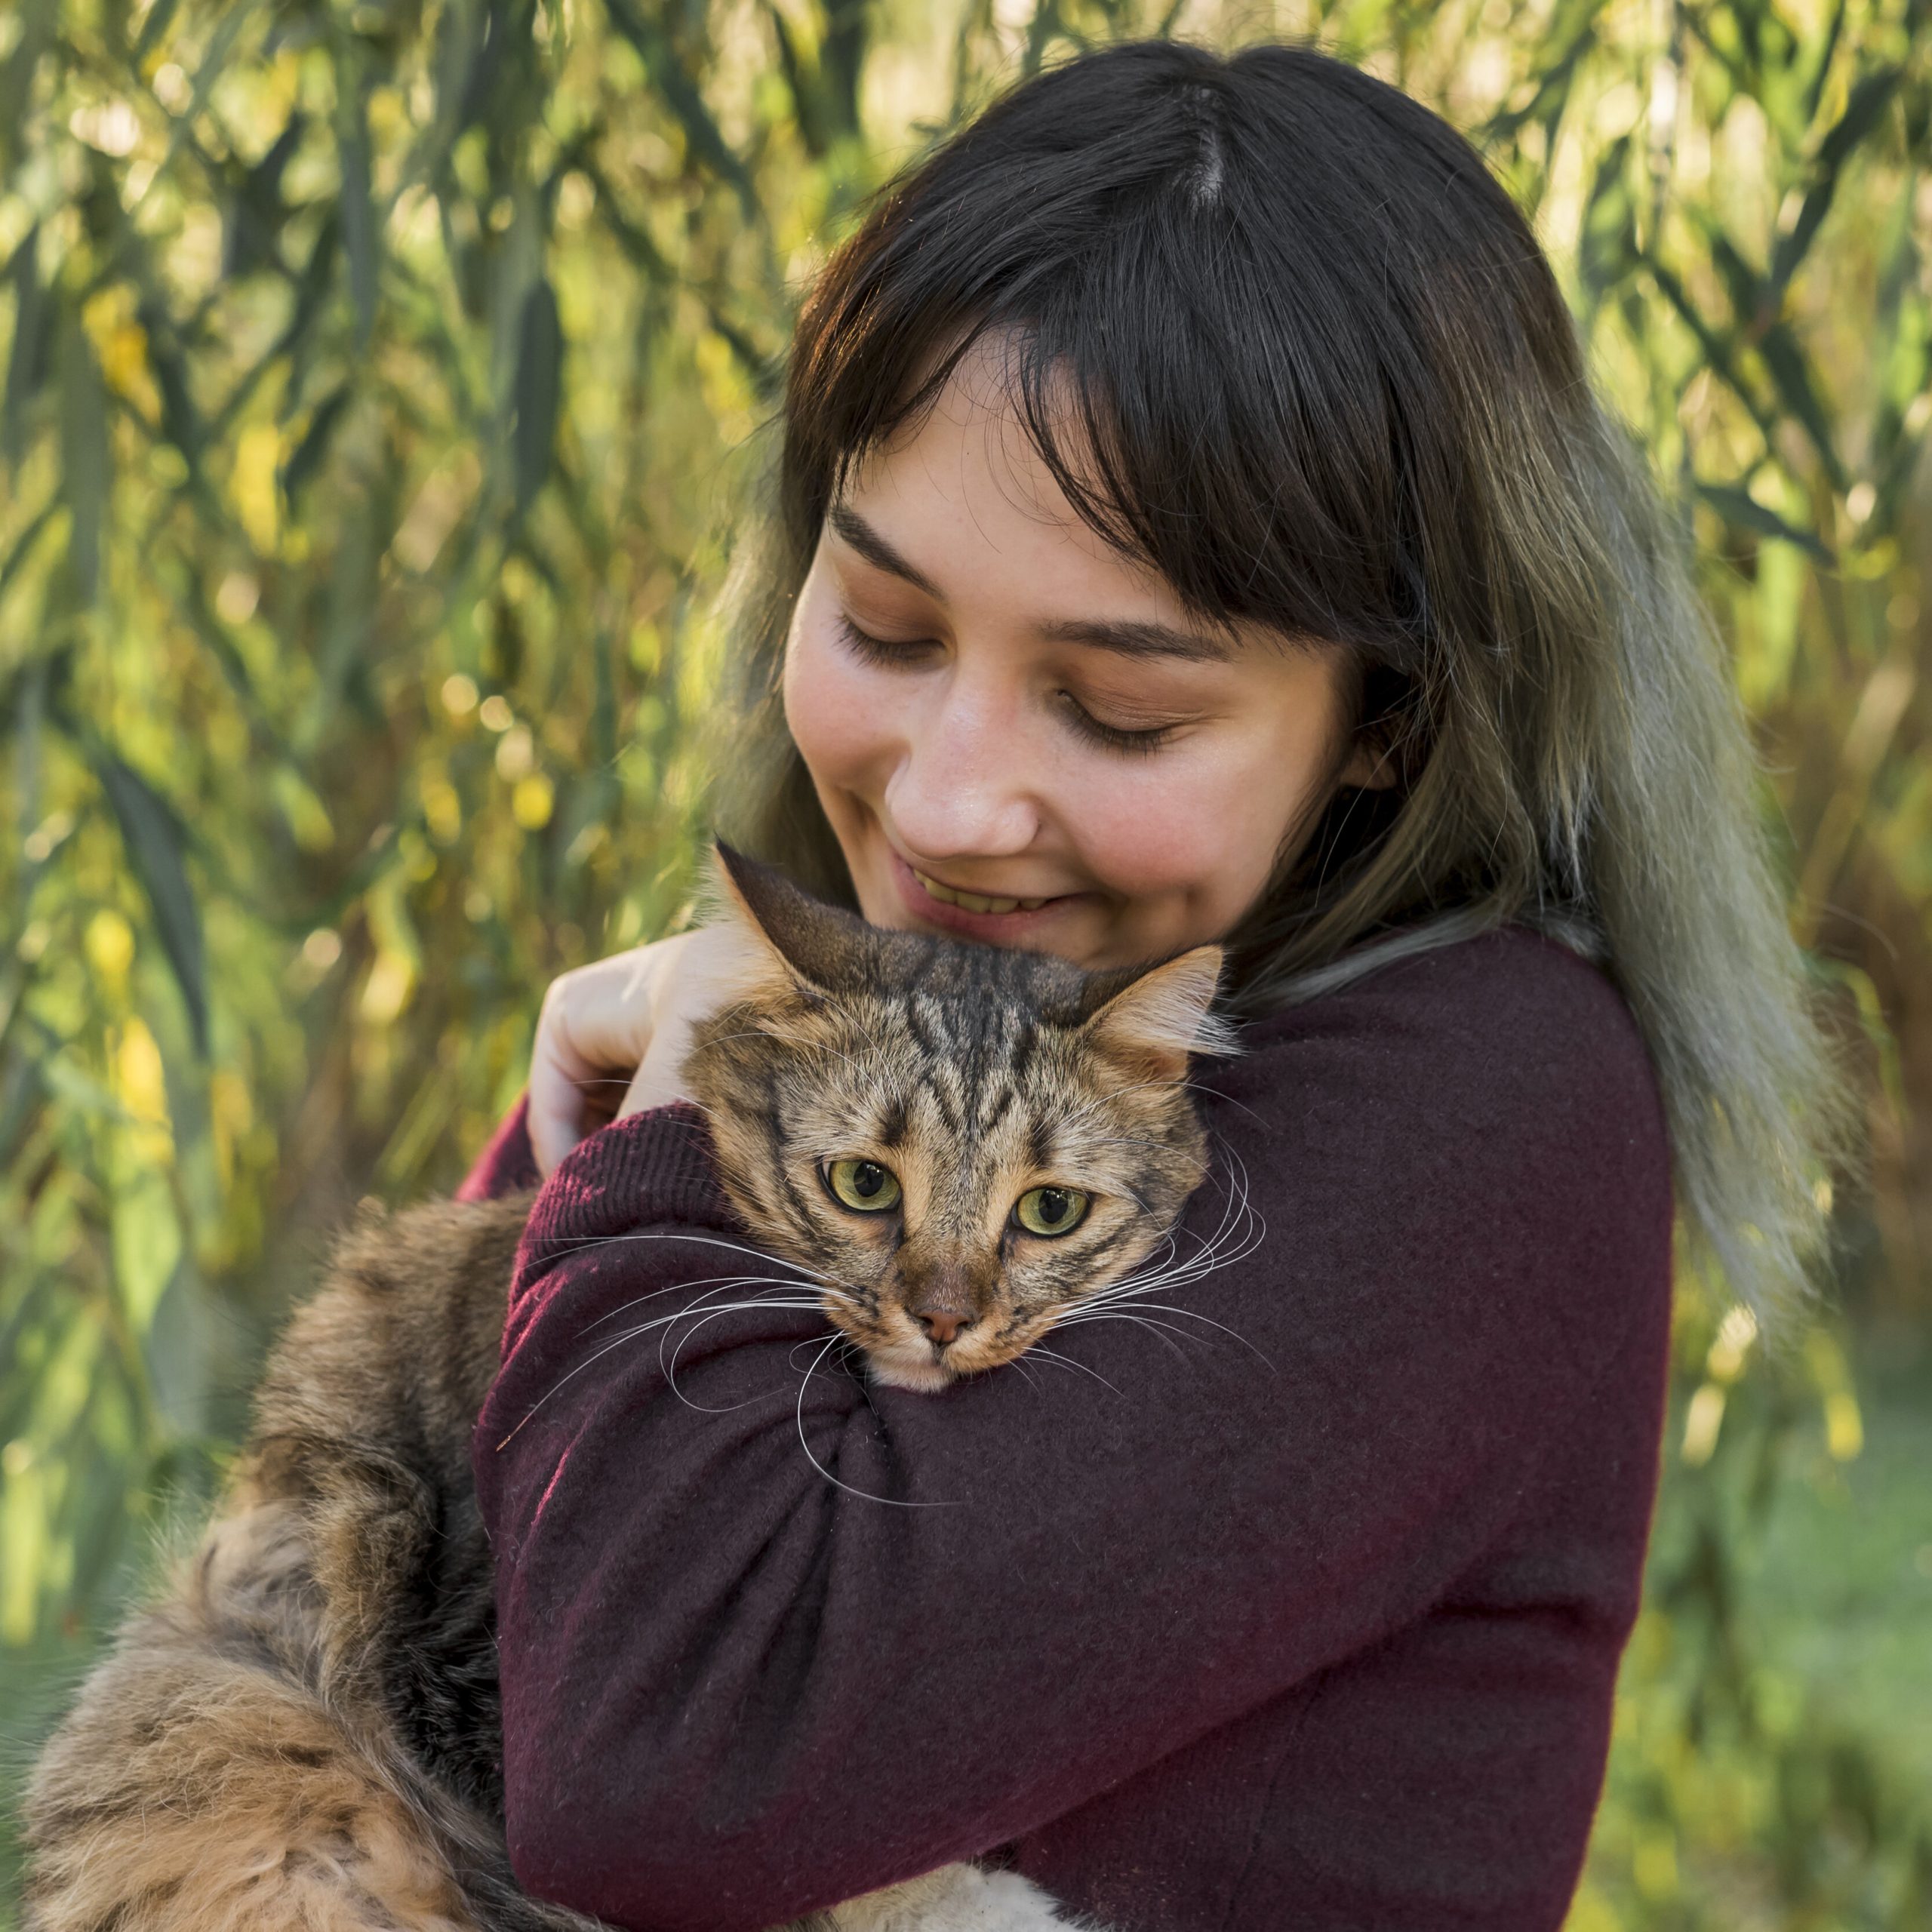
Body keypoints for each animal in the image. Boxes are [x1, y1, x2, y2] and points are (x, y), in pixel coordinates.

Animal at [23, 854, 1229, 1932]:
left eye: (1050, 1211)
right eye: (863, 1185)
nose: (942, 1318)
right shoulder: (464, 1664)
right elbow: (785, 1866)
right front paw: (986, 1905)